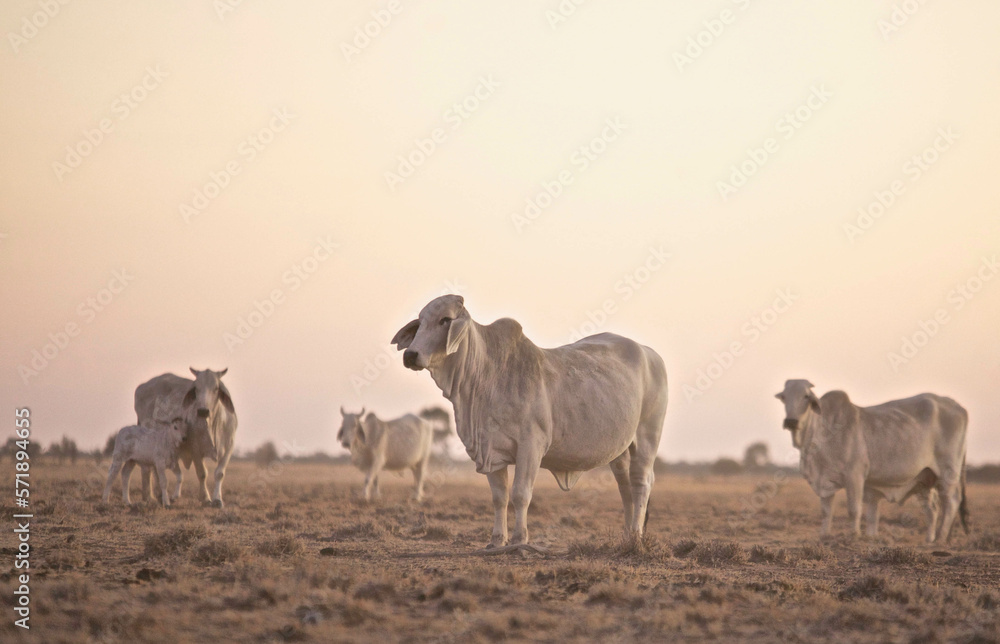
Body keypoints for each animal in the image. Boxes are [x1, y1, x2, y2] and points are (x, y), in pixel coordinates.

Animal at [134, 368, 238, 507]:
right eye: (196, 388)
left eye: (216, 388)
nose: (203, 411)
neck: (213, 425)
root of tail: (142, 387)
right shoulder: (195, 449)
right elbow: (202, 473)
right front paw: (205, 498)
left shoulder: (228, 447)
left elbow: (219, 473)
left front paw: (217, 500)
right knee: (148, 468)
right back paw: (149, 497)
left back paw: (157, 496)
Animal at [392, 294, 668, 548]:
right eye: (421, 321)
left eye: (445, 320)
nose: (411, 355)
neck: (485, 375)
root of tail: (649, 353)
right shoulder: (489, 450)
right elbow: (499, 497)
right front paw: (496, 540)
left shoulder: (531, 446)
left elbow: (520, 494)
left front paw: (519, 539)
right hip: (620, 451)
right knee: (625, 488)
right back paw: (626, 535)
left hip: (647, 438)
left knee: (641, 483)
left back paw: (635, 538)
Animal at [775, 379, 969, 542]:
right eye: (784, 397)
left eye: (806, 396)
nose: (791, 421)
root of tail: (960, 408)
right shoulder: (824, 481)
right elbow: (826, 511)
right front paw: (825, 535)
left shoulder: (854, 475)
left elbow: (854, 509)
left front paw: (854, 535)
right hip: (924, 479)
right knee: (932, 510)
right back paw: (929, 540)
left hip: (948, 473)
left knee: (951, 502)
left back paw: (940, 539)